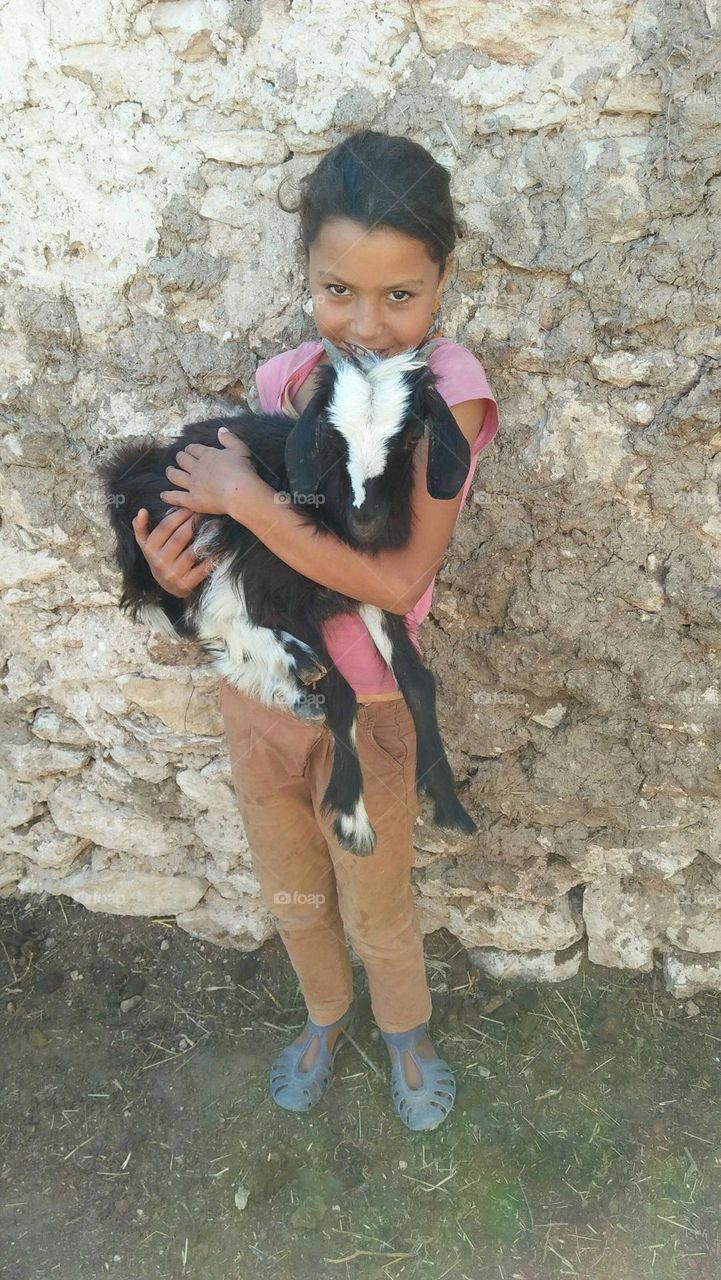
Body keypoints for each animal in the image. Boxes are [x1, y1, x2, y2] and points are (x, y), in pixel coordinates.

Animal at [97, 337, 478, 860]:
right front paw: (352, 820)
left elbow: (417, 681)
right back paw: (295, 664)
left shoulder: (369, 587)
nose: (366, 520)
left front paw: (449, 805)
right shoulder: (278, 590)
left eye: (407, 438)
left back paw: (294, 690)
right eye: (332, 439)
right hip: (193, 531)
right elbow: (343, 696)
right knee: (203, 616)